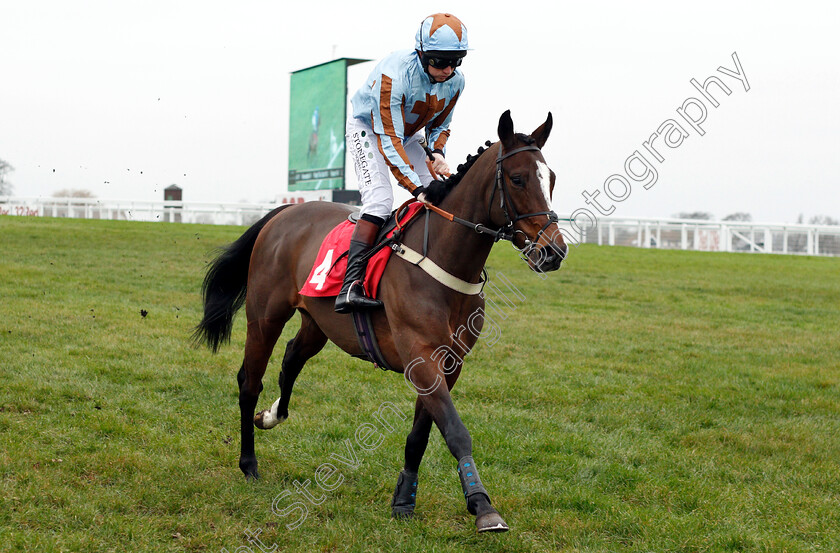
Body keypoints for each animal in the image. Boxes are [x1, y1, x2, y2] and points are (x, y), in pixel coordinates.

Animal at [194, 111, 568, 532]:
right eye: (518, 179)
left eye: (551, 178)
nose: (553, 252)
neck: (444, 260)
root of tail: (284, 212)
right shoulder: (421, 356)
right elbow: (455, 431)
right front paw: (482, 505)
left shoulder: (449, 363)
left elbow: (422, 434)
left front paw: (404, 498)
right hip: (265, 315)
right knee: (249, 382)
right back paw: (249, 463)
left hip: (318, 322)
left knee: (292, 357)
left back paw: (273, 415)